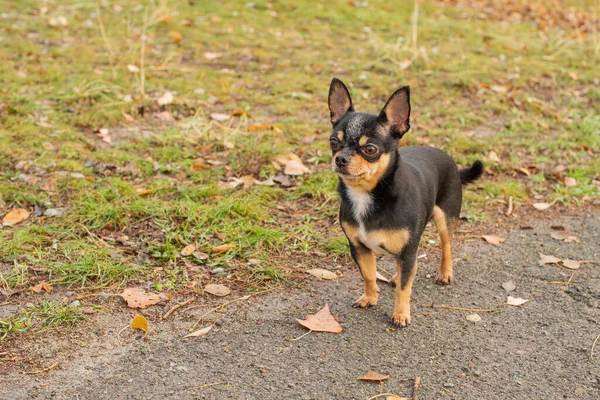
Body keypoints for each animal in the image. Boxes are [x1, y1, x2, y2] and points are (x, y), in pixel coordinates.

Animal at [328, 79, 482, 328]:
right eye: (333, 142)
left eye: (370, 149)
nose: (340, 159)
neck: (368, 194)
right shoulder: (359, 248)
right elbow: (369, 275)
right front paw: (370, 297)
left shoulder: (408, 251)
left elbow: (404, 288)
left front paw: (400, 315)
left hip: (445, 218)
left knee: (447, 246)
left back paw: (445, 273)